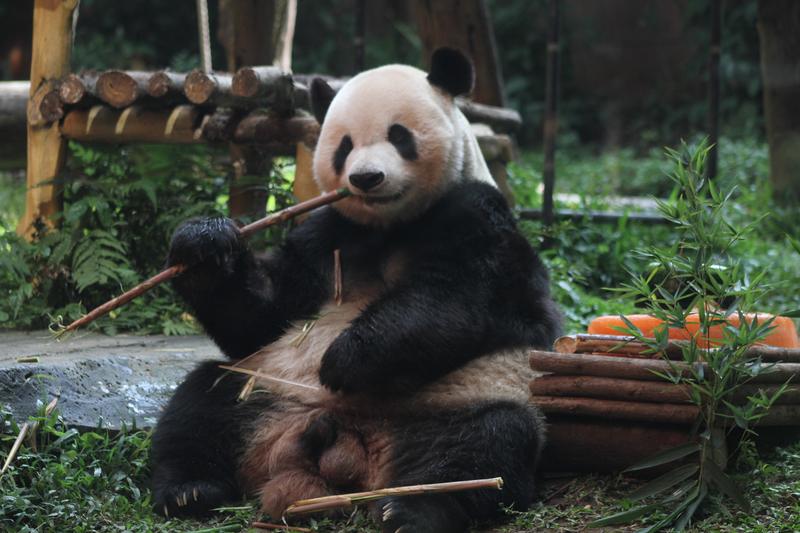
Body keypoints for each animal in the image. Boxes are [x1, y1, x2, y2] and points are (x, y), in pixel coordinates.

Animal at [150, 48, 562, 533]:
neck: (389, 227)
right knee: (201, 404)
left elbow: (451, 300)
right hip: (265, 391)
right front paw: (204, 244)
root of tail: (347, 450)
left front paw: (343, 361)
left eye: (399, 136)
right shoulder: (328, 234)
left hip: (466, 399)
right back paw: (189, 491)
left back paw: (411, 511)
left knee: (484, 448)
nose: (366, 178)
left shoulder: (478, 215)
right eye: (344, 146)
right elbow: (262, 315)